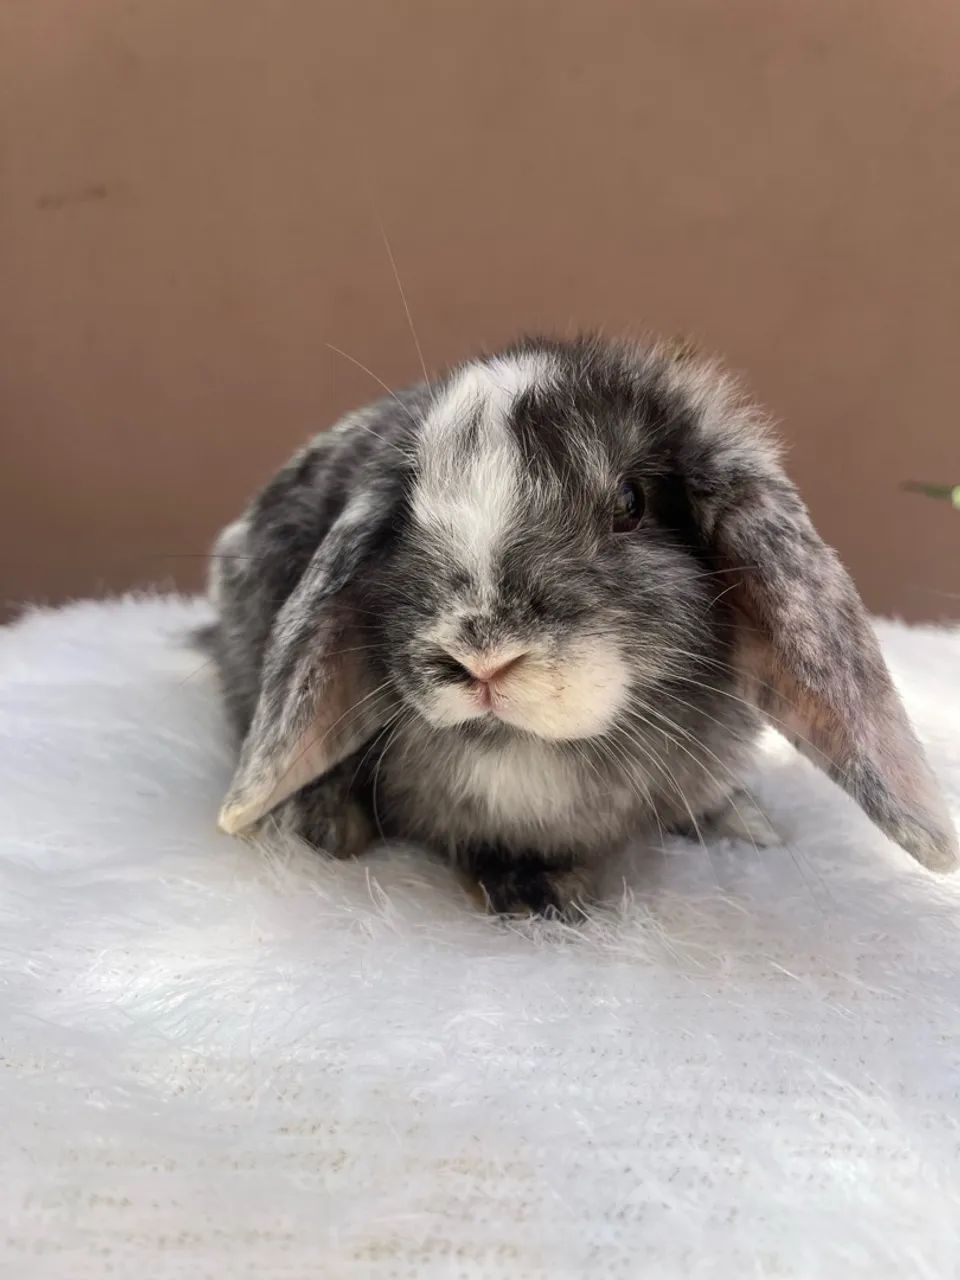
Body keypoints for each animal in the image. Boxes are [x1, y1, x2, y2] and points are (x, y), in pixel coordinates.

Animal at [208, 335, 958, 915]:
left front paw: (745, 825)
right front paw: (541, 895)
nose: (481, 659)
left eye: (631, 503)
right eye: (406, 514)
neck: (531, 757)